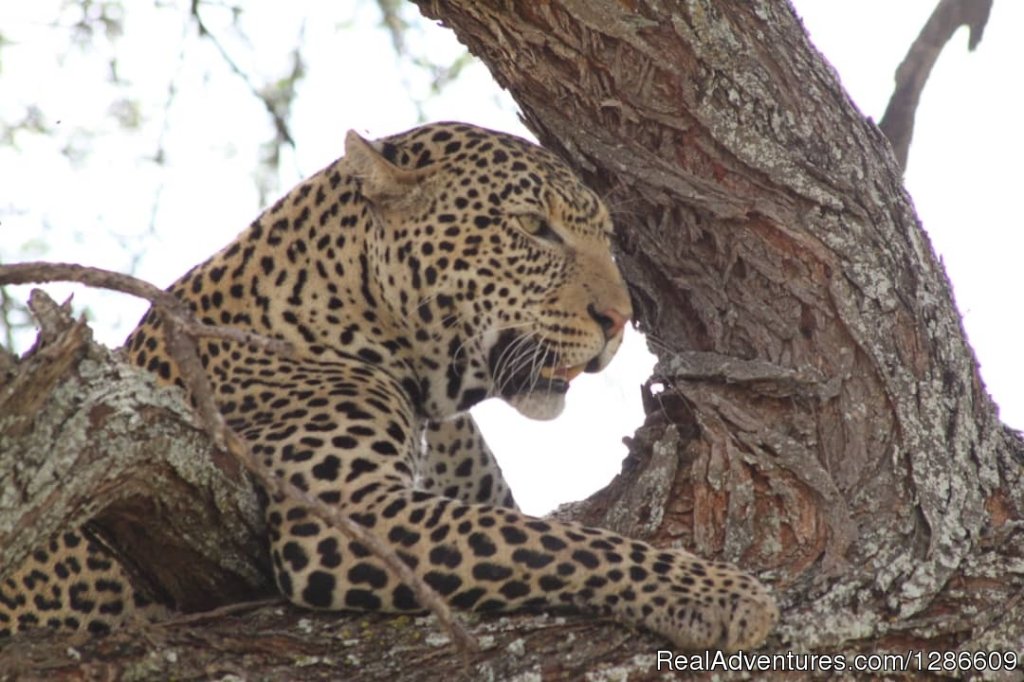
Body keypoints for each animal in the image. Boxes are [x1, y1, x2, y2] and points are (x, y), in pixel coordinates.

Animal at [2, 120, 774, 647]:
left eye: (606, 238)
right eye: (533, 227)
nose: (619, 319)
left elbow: (539, 530)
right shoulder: (346, 514)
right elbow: (560, 543)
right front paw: (722, 594)